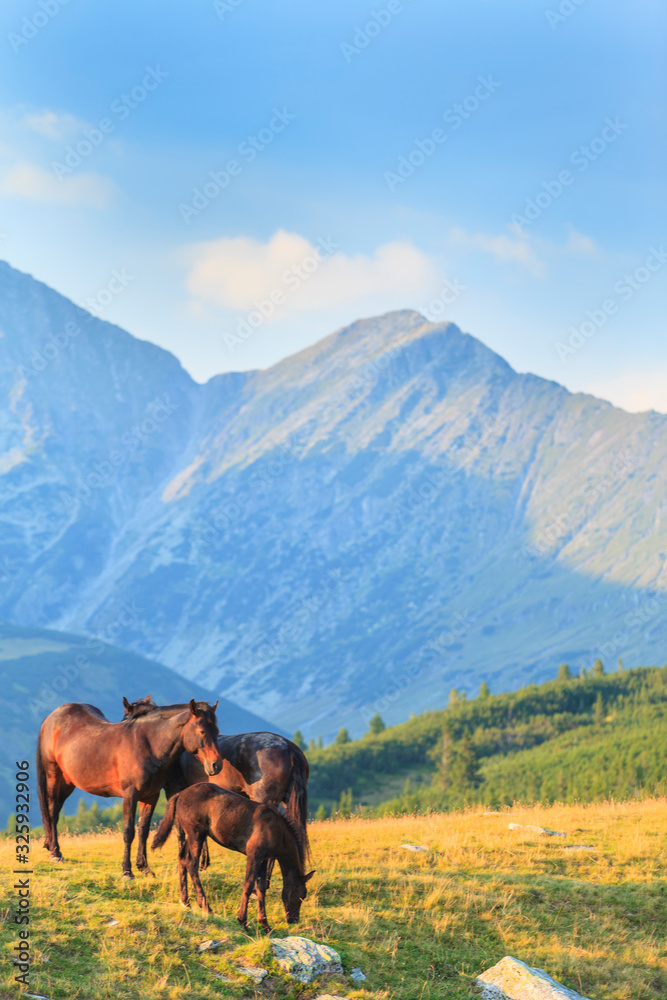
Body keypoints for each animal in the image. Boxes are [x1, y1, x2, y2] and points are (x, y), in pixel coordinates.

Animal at [37, 700, 222, 880]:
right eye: (201, 731)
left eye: (217, 731)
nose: (216, 765)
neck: (149, 745)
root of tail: (52, 717)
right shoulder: (130, 794)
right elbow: (128, 832)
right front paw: (127, 871)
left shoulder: (151, 796)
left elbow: (143, 831)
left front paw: (144, 868)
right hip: (54, 775)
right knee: (52, 811)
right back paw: (55, 853)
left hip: (68, 782)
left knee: (56, 811)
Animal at [151, 780, 314, 928]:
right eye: (302, 894)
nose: (293, 919)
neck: (276, 830)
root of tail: (180, 794)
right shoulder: (254, 854)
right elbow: (248, 884)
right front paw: (242, 920)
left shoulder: (264, 858)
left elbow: (261, 888)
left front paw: (264, 924)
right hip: (195, 834)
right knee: (192, 863)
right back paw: (206, 906)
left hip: (194, 835)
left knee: (182, 859)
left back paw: (185, 901)